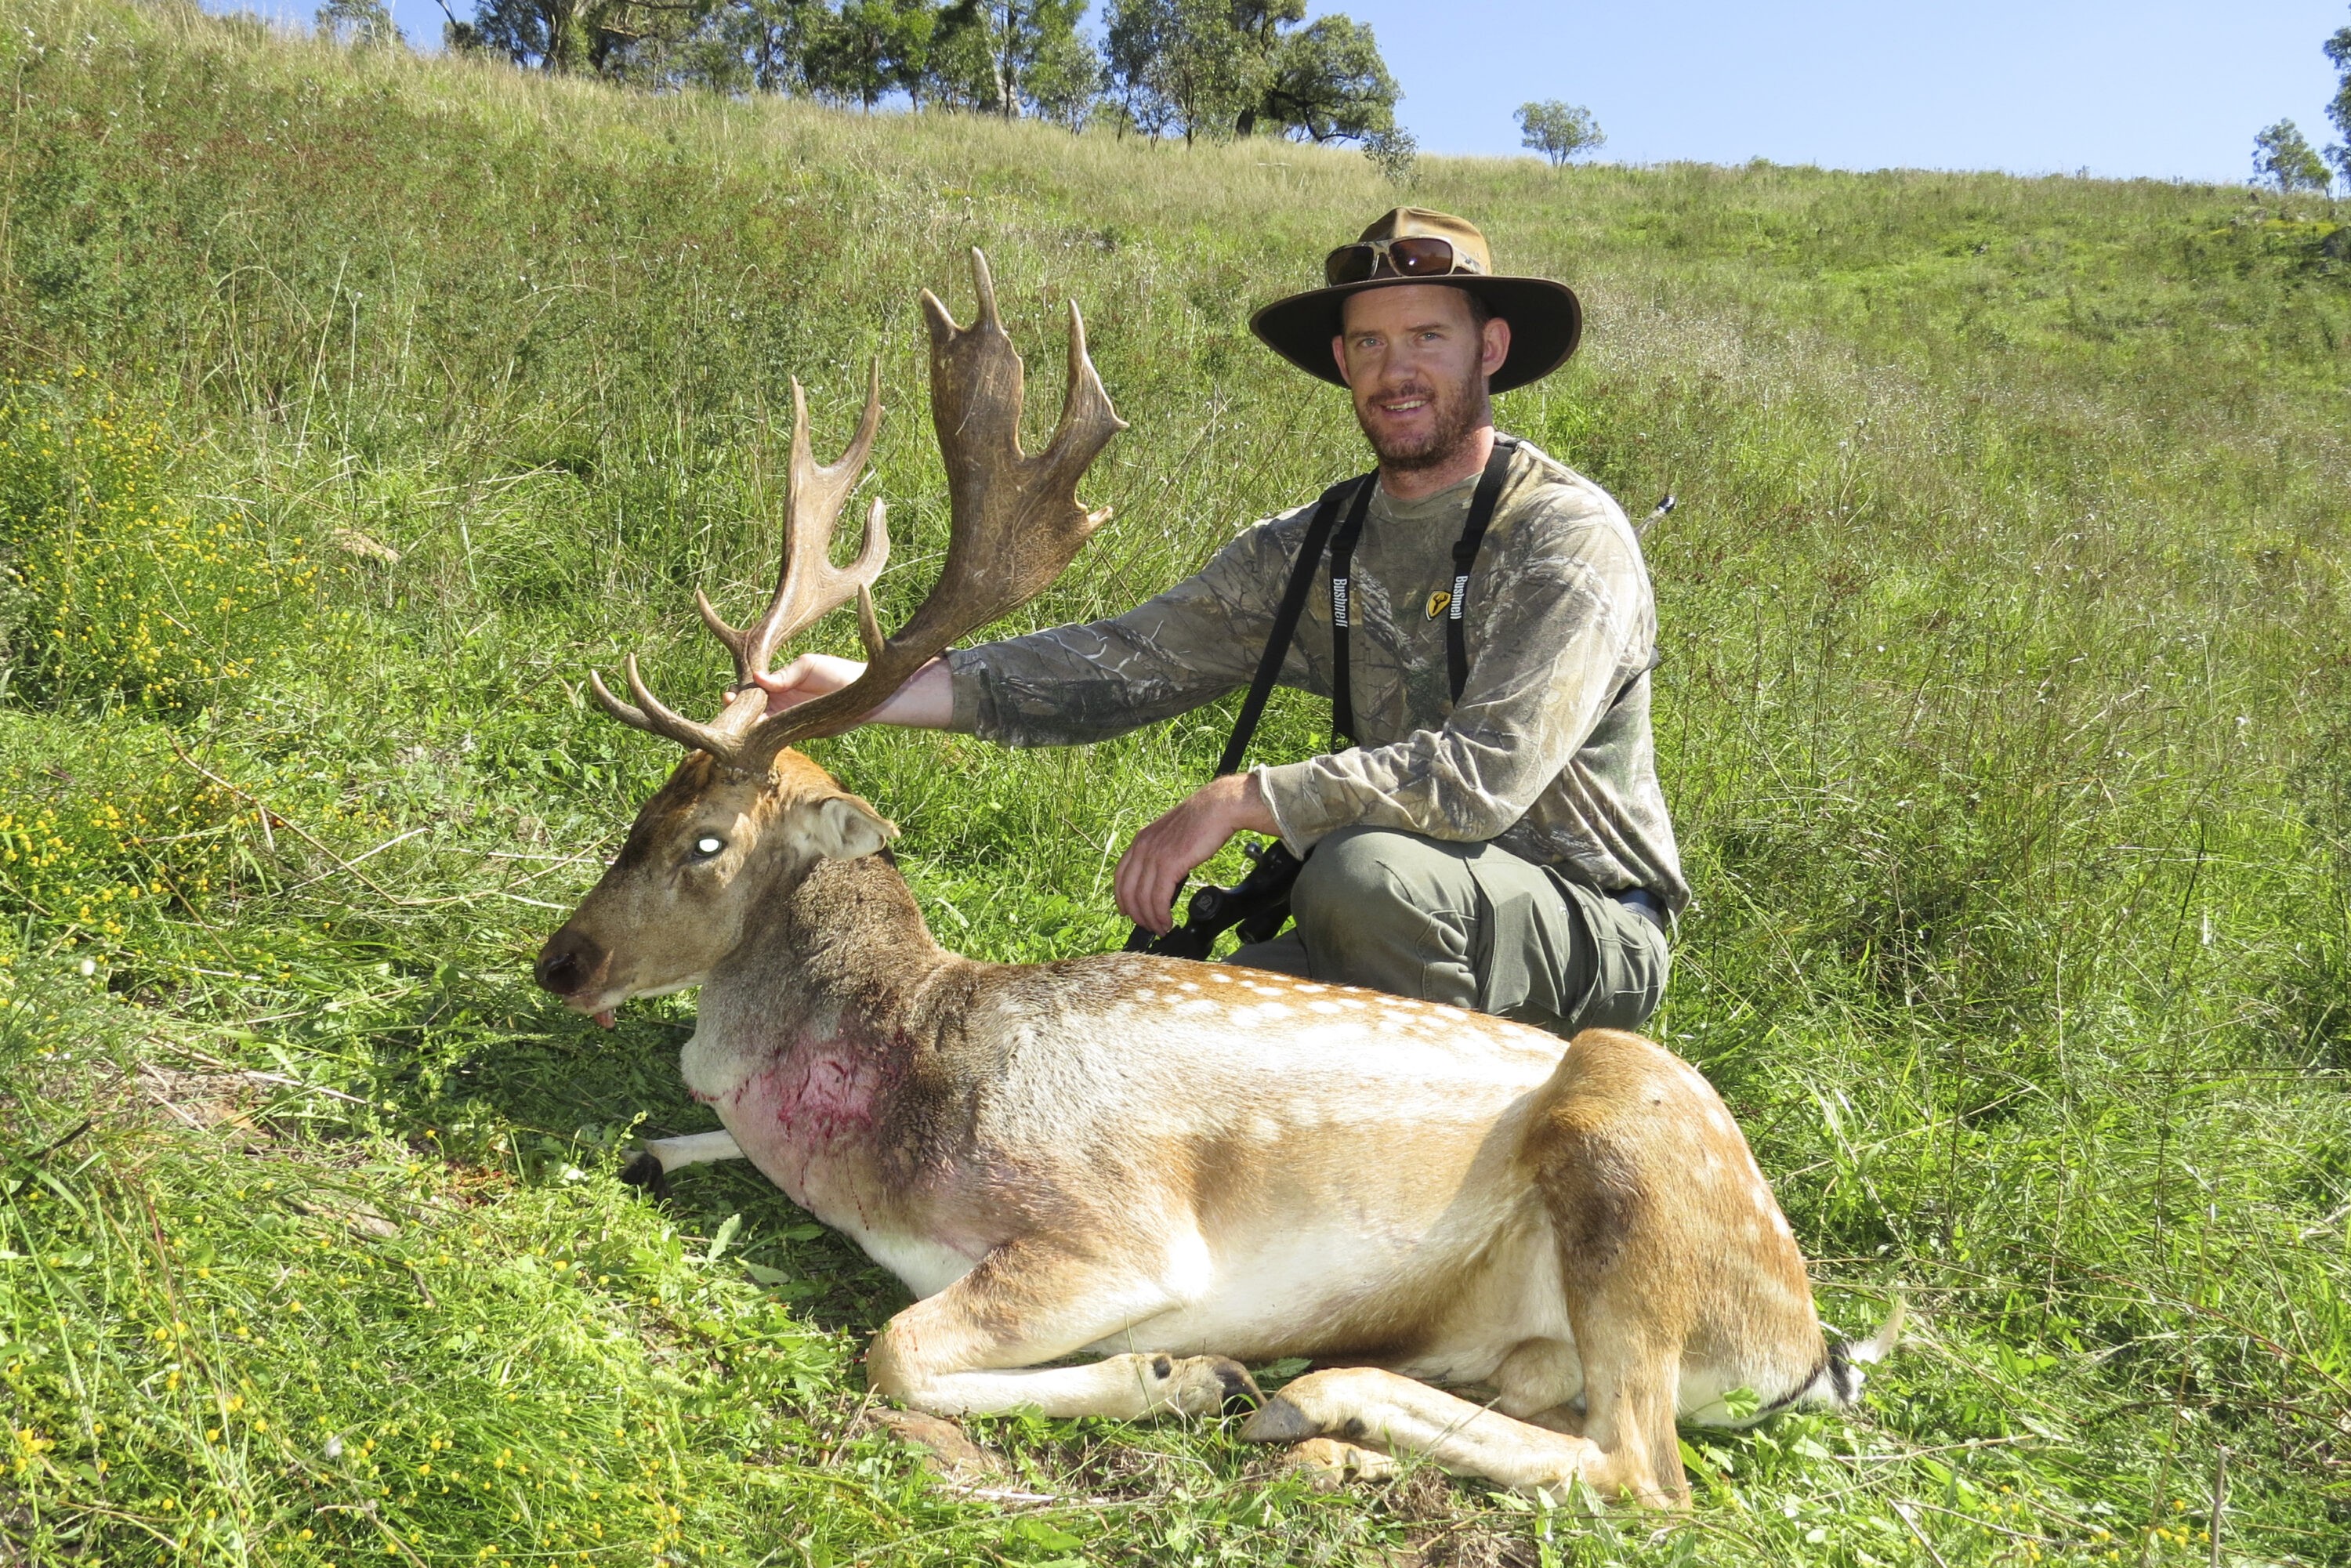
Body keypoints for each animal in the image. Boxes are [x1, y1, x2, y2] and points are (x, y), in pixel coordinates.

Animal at [538, 252, 1890, 1505]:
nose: (562, 960)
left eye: (707, 840)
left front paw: (1173, 1372)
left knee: (1645, 1471)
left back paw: (1298, 1395)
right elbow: (665, 1147)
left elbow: (897, 1349)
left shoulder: (1115, 1234)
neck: (892, 1090)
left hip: (1635, 1159)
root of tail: (1806, 1344)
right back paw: (1331, 1424)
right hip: (1550, 1327)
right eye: (644, 807)